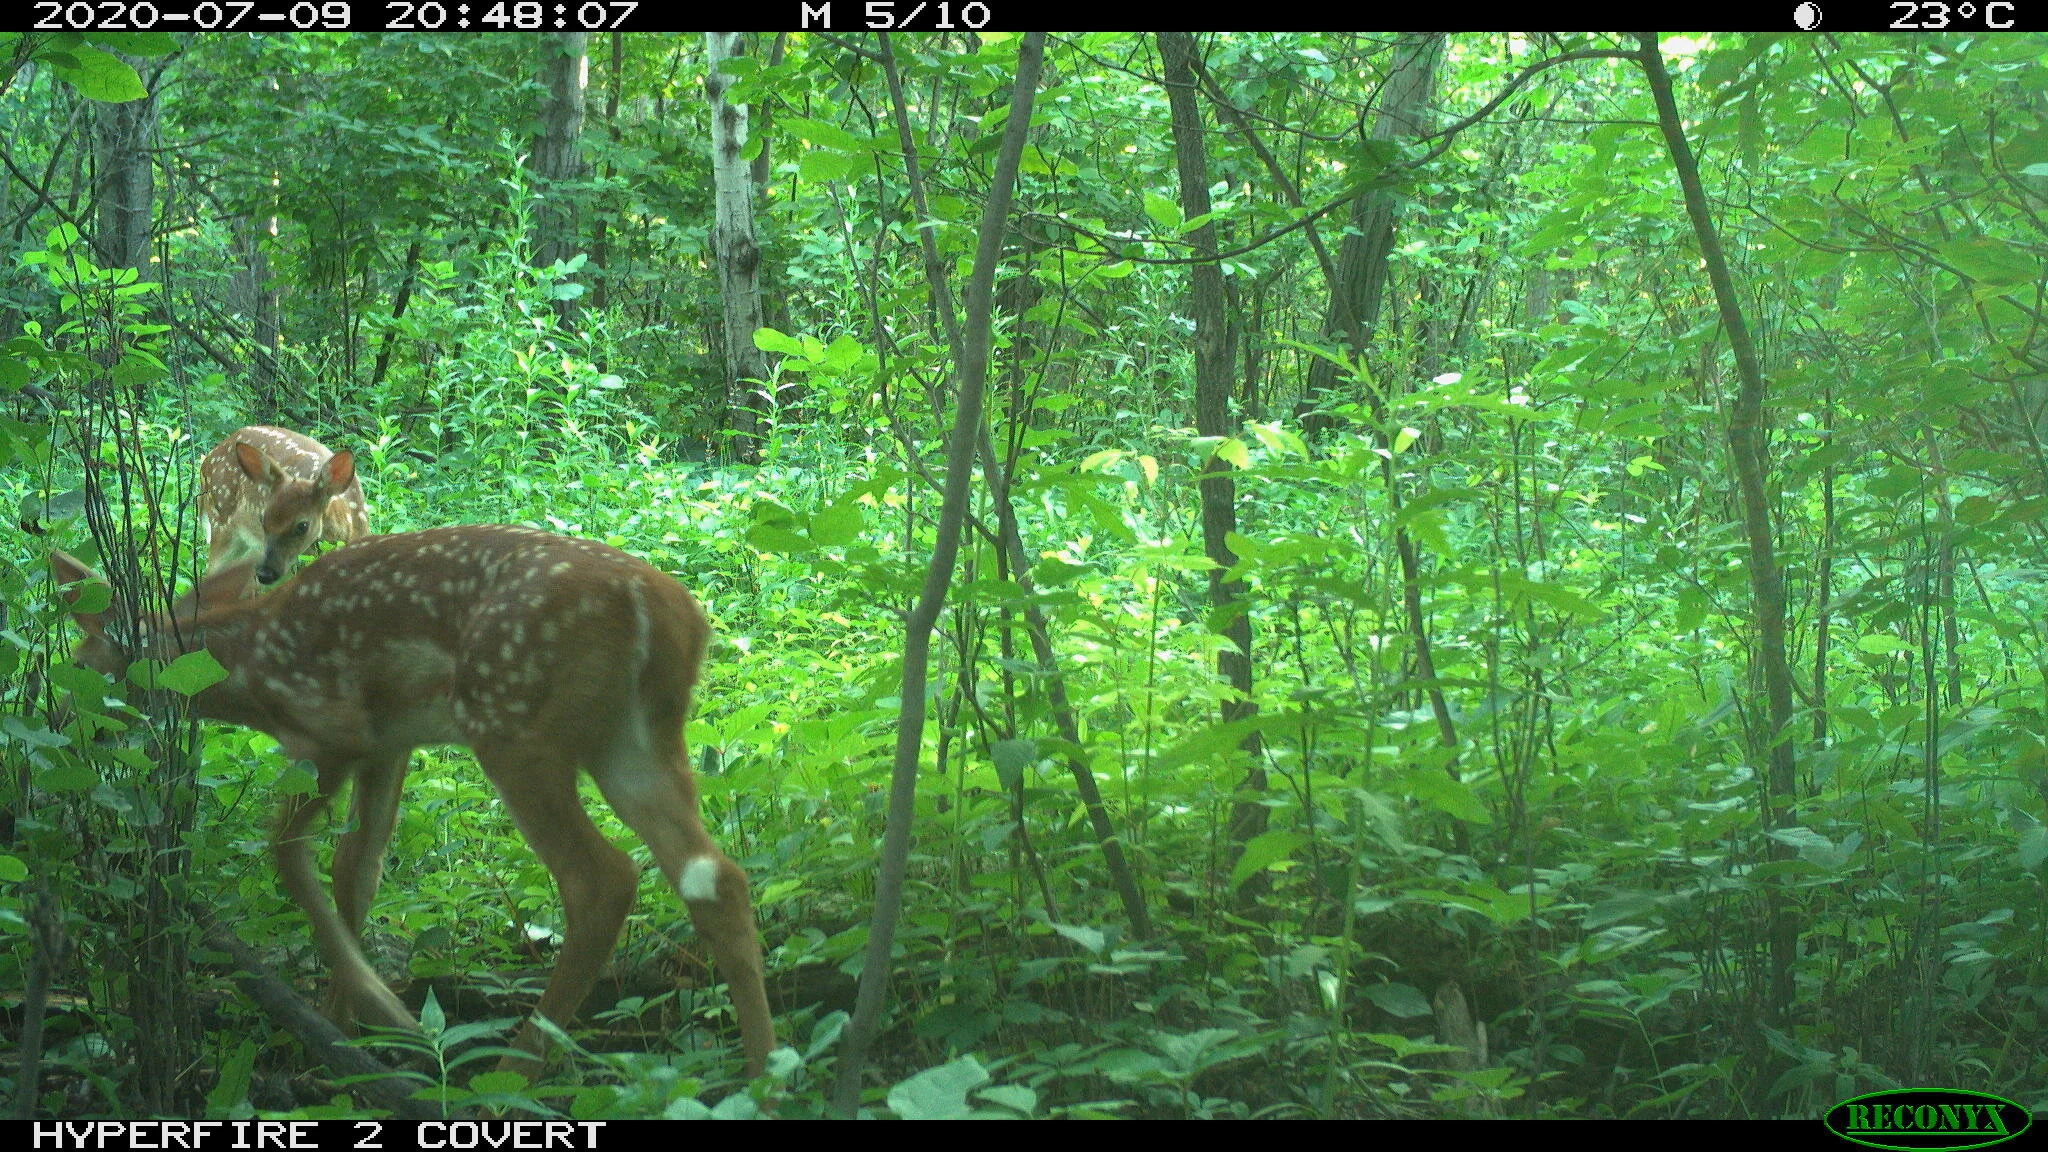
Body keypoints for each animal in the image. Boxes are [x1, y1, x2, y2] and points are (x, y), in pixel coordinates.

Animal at [50, 526, 775, 1079]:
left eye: (80, 661)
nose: (62, 723)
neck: (248, 666)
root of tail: (667, 611)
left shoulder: (328, 732)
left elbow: (286, 852)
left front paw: (378, 1018)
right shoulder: (389, 746)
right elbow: (357, 868)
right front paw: (341, 1036)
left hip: (512, 722)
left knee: (602, 878)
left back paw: (507, 1078)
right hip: (636, 739)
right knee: (716, 876)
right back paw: (766, 1076)